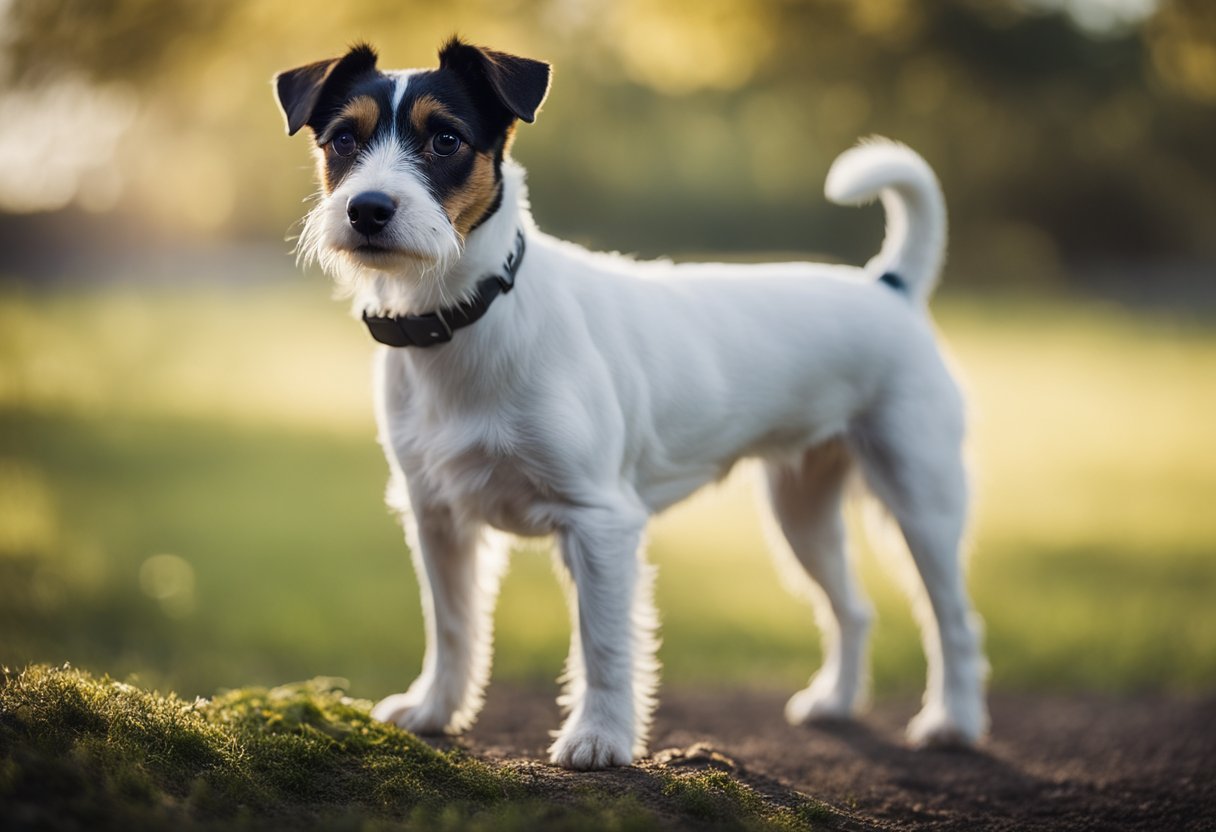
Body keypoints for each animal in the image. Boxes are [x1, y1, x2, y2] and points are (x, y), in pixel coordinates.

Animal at [273, 37, 987, 768]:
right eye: (342, 139)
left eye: (445, 138)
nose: (367, 209)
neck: (468, 317)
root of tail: (888, 285)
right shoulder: (437, 516)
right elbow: (452, 626)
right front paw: (437, 709)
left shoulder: (600, 521)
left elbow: (605, 645)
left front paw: (600, 737)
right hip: (801, 510)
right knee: (852, 608)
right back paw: (837, 701)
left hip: (922, 496)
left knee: (954, 619)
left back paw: (952, 722)